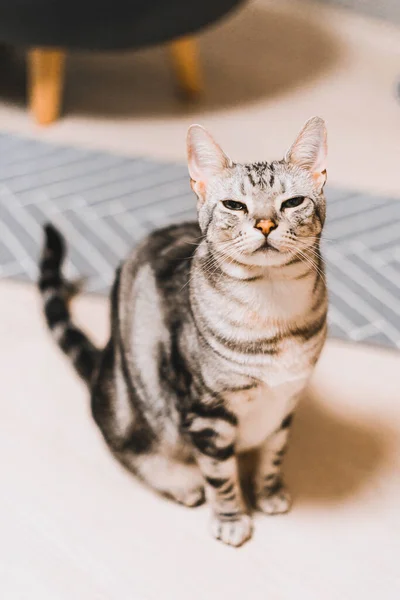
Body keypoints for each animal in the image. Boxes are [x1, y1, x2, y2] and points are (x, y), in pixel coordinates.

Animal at [38, 115, 328, 548]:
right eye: (234, 205)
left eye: (292, 202)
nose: (265, 223)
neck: (273, 310)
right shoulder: (207, 413)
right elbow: (221, 476)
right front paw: (231, 517)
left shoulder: (287, 400)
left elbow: (275, 453)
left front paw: (269, 491)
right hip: (126, 407)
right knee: (127, 446)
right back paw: (181, 481)